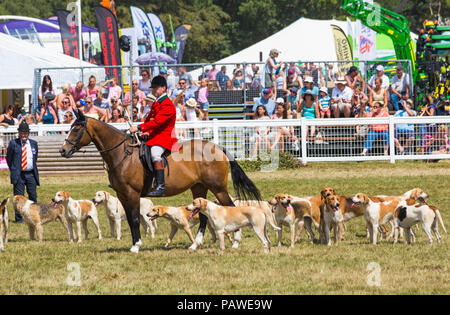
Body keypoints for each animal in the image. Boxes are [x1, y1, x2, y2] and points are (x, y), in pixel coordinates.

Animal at [58, 111, 262, 254]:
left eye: (76, 129)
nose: (63, 151)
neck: (122, 153)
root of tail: (217, 147)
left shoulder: (132, 193)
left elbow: (134, 218)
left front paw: (136, 246)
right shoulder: (123, 195)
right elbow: (132, 220)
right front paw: (134, 243)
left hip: (218, 188)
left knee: (230, 207)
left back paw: (236, 242)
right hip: (199, 188)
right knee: (203, 216)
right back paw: (195, 245)